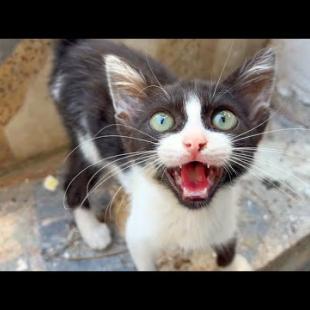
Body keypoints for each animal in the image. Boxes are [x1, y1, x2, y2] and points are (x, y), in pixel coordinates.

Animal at [49, 39, 274, 272]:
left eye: (224, 119)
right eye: (162, 121)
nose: (194, 142)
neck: (191, 214)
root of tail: (78, 44)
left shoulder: (225, 219)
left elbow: (227, 245)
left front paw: (233, 262)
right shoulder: (138, 233)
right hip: (85, 139)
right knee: (74, 183)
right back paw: (92, 231)